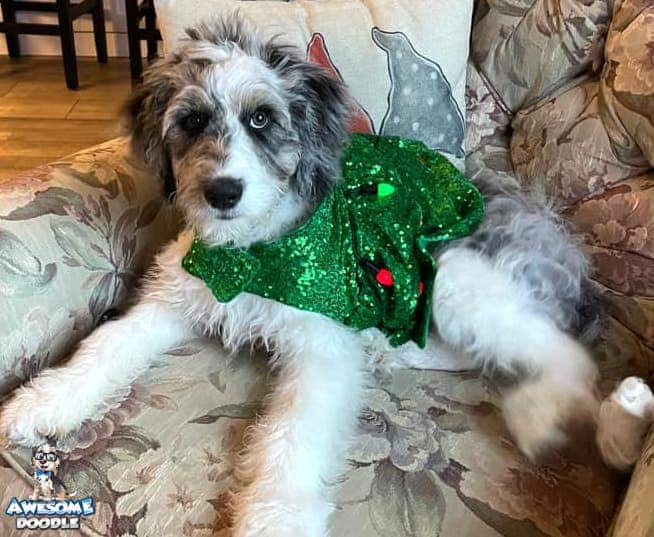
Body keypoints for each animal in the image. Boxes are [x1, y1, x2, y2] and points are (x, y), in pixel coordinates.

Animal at [0, 14, 636, 532]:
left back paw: (543, 420)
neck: (253, 252)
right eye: (193, 121)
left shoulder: (322, 346)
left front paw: (273, 521)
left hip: (456, 276)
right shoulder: (173, 297)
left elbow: (293, 439)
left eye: (261, 118)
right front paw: (39, 403)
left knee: (566, 358)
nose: (222, 193)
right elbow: (105, 346)